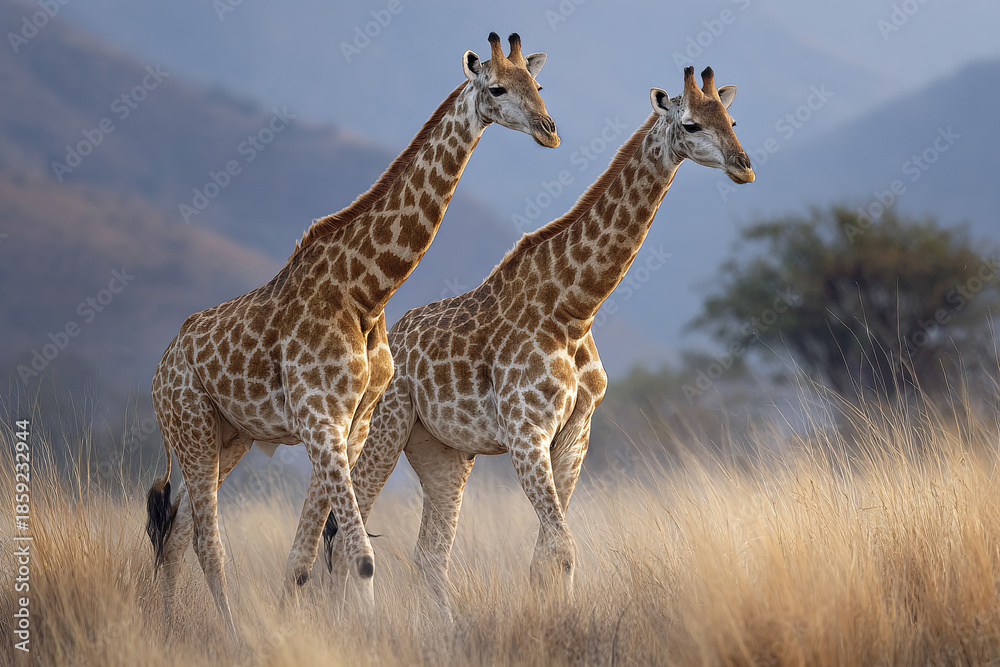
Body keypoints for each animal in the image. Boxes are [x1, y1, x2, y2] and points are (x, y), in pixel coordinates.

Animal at [144, 32, 559, 635]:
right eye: (498, 88)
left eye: (538, 83)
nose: (549, 129)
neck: (367, 292)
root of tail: (158, 372)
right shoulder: (321, 421)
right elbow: (360, 555)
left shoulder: (353, 423)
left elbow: (302, 558)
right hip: (192, 426)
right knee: (204, 541)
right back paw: (233, 636)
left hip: (229, 437)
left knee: (176, 536)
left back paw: (172, 628)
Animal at [325, 66, 754, 613]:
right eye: (692, 124)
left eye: (732, 120)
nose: (744, 166)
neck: (573, 310)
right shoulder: (526, 433)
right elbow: (563, 549)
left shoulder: (575, 437)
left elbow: (547, 555)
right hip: (384, 427)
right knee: (348, 532)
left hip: (443, 453)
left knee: (429, 553)